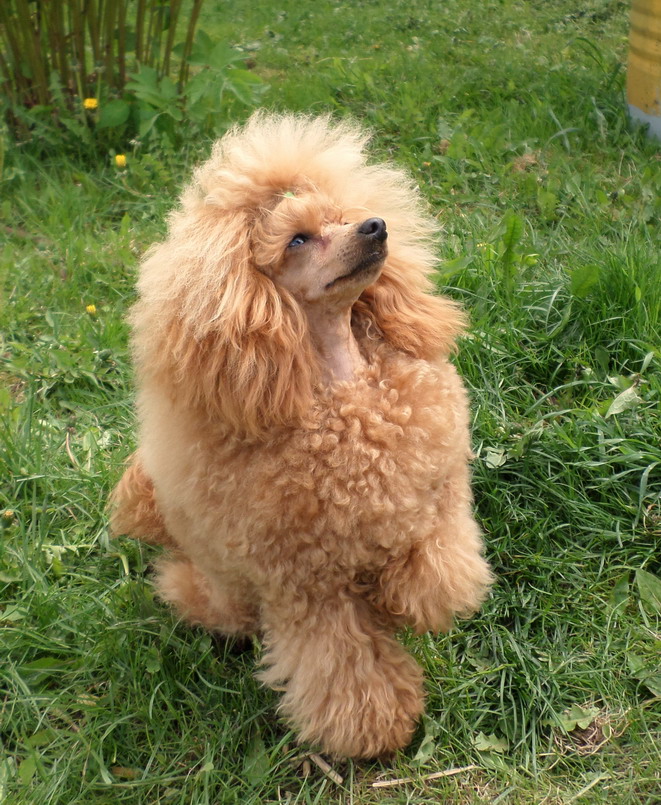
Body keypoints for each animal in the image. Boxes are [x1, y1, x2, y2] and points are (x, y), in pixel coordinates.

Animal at [110, 112, 492, 758]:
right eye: (296, 240)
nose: (375, 226)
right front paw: (374, 728)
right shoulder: (308, 587)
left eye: (341, 218)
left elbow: (439, 559)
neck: (342, 388)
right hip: (226, 588)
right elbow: (343, 664)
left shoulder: (436, 485)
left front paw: (411, 598)